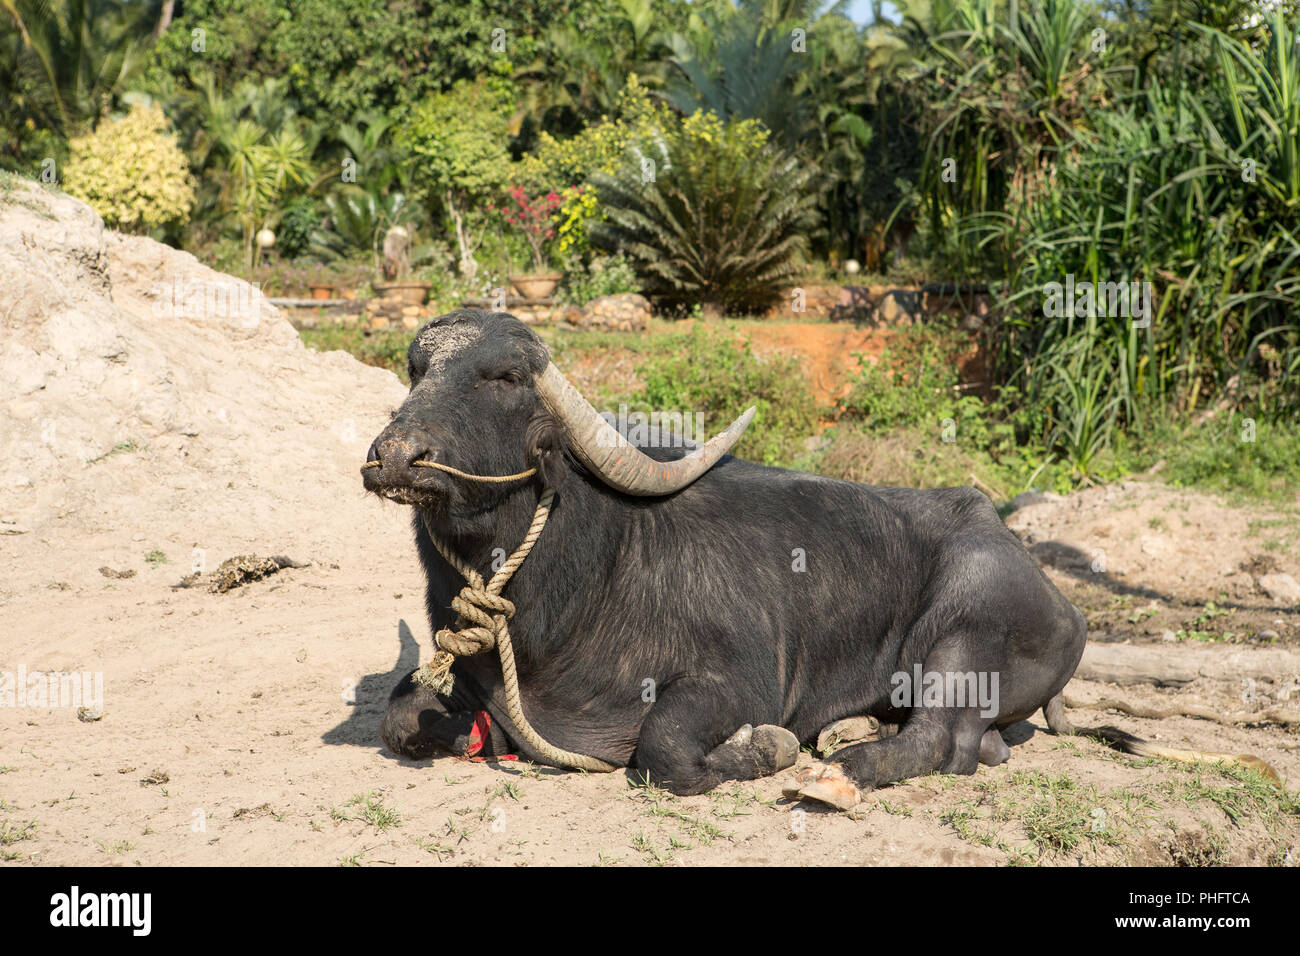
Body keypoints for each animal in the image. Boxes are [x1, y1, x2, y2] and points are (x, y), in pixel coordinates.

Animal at [361, 308, 1112, 806]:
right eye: (417, 368)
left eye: (506, 376)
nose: (396, 456)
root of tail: (1064, 603)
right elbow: (399, 717)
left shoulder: (738, 684)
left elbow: (664, 749)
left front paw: (769, 747)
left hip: (964, 627)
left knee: (944, 742)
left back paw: (836, 772)